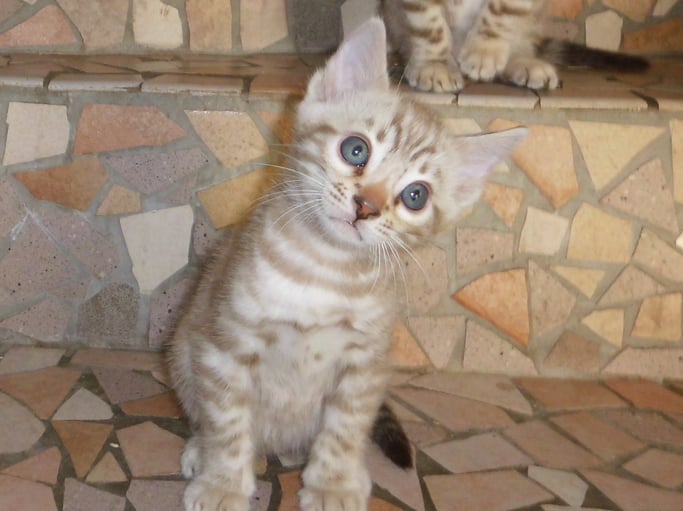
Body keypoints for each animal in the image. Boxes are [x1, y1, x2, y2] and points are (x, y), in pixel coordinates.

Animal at [167, 17, 526, 511]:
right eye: (355, 150)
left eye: (416, 196)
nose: (366, 207)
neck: (324, 271)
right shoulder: (226, 344)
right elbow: (227, 423)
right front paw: (222, 481)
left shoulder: (365, 364)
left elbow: (345, 429)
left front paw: (333, 484)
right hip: (183, 347)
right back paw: (201, 449)